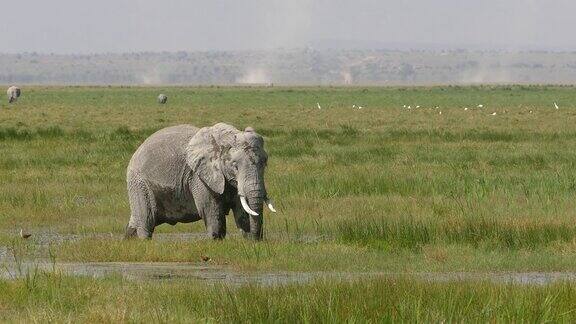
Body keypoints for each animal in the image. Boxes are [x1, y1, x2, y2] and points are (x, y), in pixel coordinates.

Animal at [123, 123, 274, 239]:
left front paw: (250, 242)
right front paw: (216, 243)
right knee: (146, 221)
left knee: (135, 223)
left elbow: (242, 211)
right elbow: (210, 210)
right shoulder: (199, 177)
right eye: (235, 165)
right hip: (139, 183)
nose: (257, 239)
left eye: (265, 163)